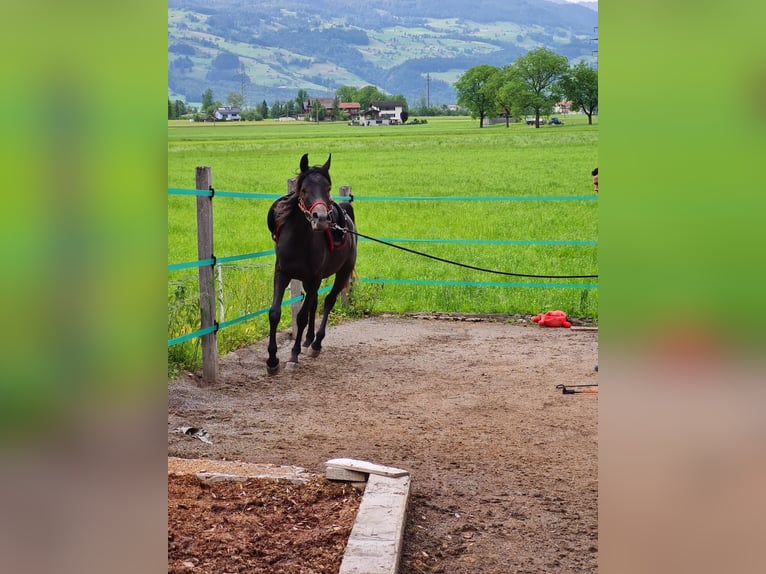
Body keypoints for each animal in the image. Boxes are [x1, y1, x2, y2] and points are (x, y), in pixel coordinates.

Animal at [266, 155, 358, 376]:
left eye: (328, 187)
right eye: (304, 189)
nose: (321, 218)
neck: (299, 241)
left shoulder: (314, 278)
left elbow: (300, 317)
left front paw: (293, 356)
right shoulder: (282, 274)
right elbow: (275, 313)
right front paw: (272, 360)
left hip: (342, 273)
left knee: (328, 301)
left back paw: (315, 344)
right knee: (314, 302)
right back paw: (308, 340)